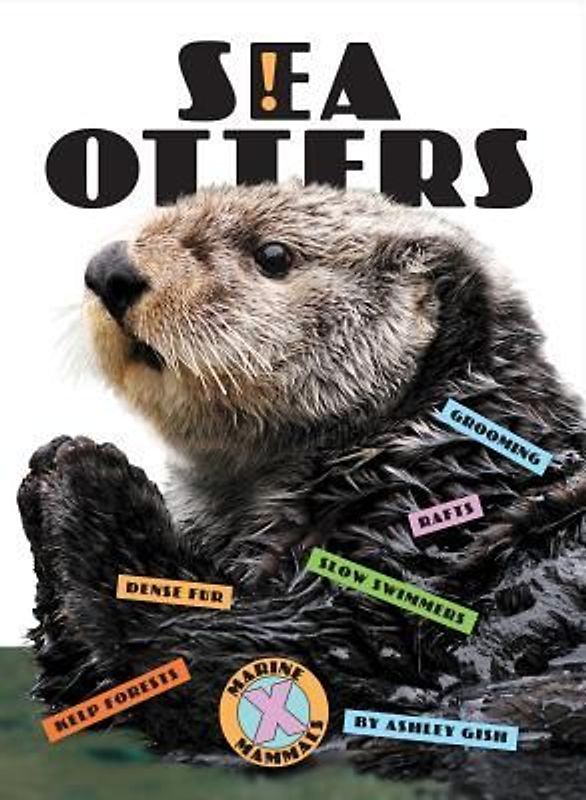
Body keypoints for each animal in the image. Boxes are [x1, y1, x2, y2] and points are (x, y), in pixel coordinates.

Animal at [18, 183, 586, 786]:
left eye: (272, 255)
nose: (110, 269)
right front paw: (45, 470)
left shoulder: (428, 563)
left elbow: (312, 663)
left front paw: (86, 475)